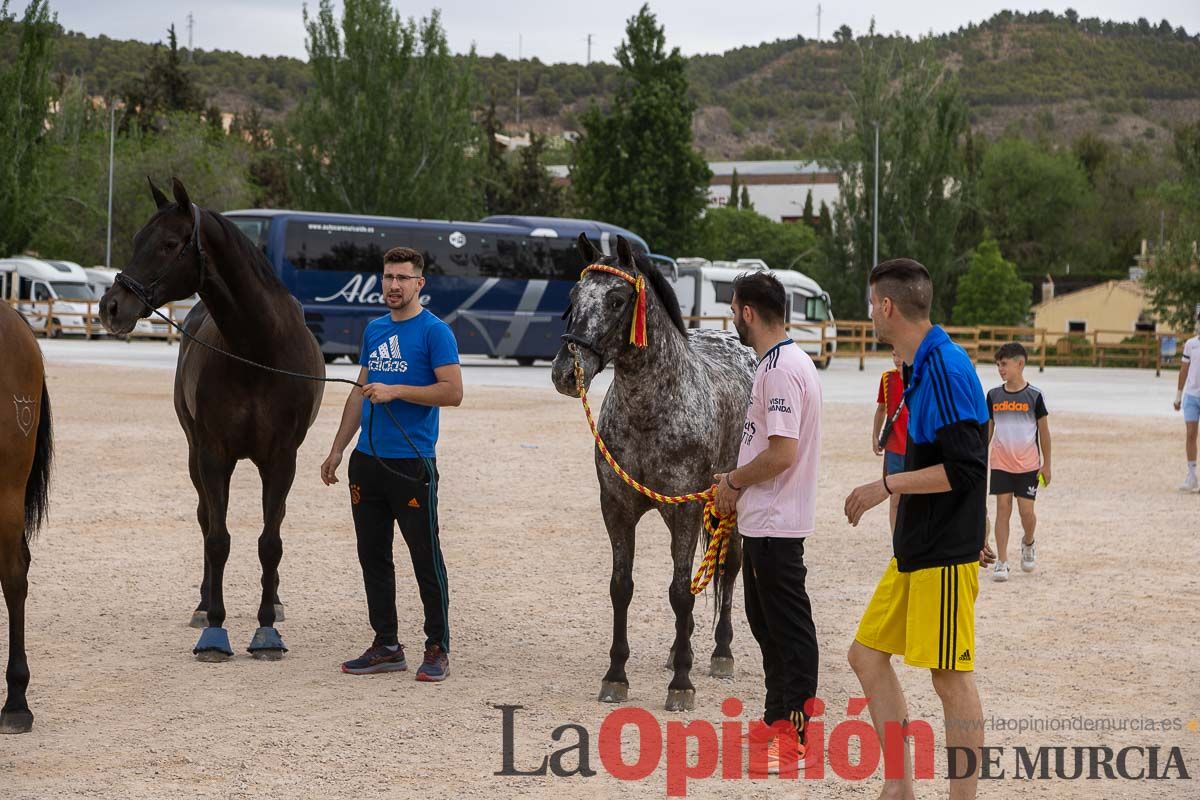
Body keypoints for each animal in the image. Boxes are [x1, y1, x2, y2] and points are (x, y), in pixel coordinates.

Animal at [99, 179, 324, 662]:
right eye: (136, 240)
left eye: (168, 244)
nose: (111, 307)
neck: (258, 350)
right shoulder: (212, 455)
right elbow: (217, 538)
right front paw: (216, 630)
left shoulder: (282, 459)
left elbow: (270, 542)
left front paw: (266, 630)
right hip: (193, 454)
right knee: (205, 520)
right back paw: (204, 606)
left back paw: (275, 602)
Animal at [549, 235, 753, 710]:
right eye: (572, 297)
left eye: (616, 299)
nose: (566, 372)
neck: (651, 412)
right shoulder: (617, 508)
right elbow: (621, 587)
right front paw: (615, 676)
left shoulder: (686, 512)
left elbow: (680, 591)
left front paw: (682, 684)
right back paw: (682, 650)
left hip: (731, 506)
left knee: (728, 567)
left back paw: (720, 653)